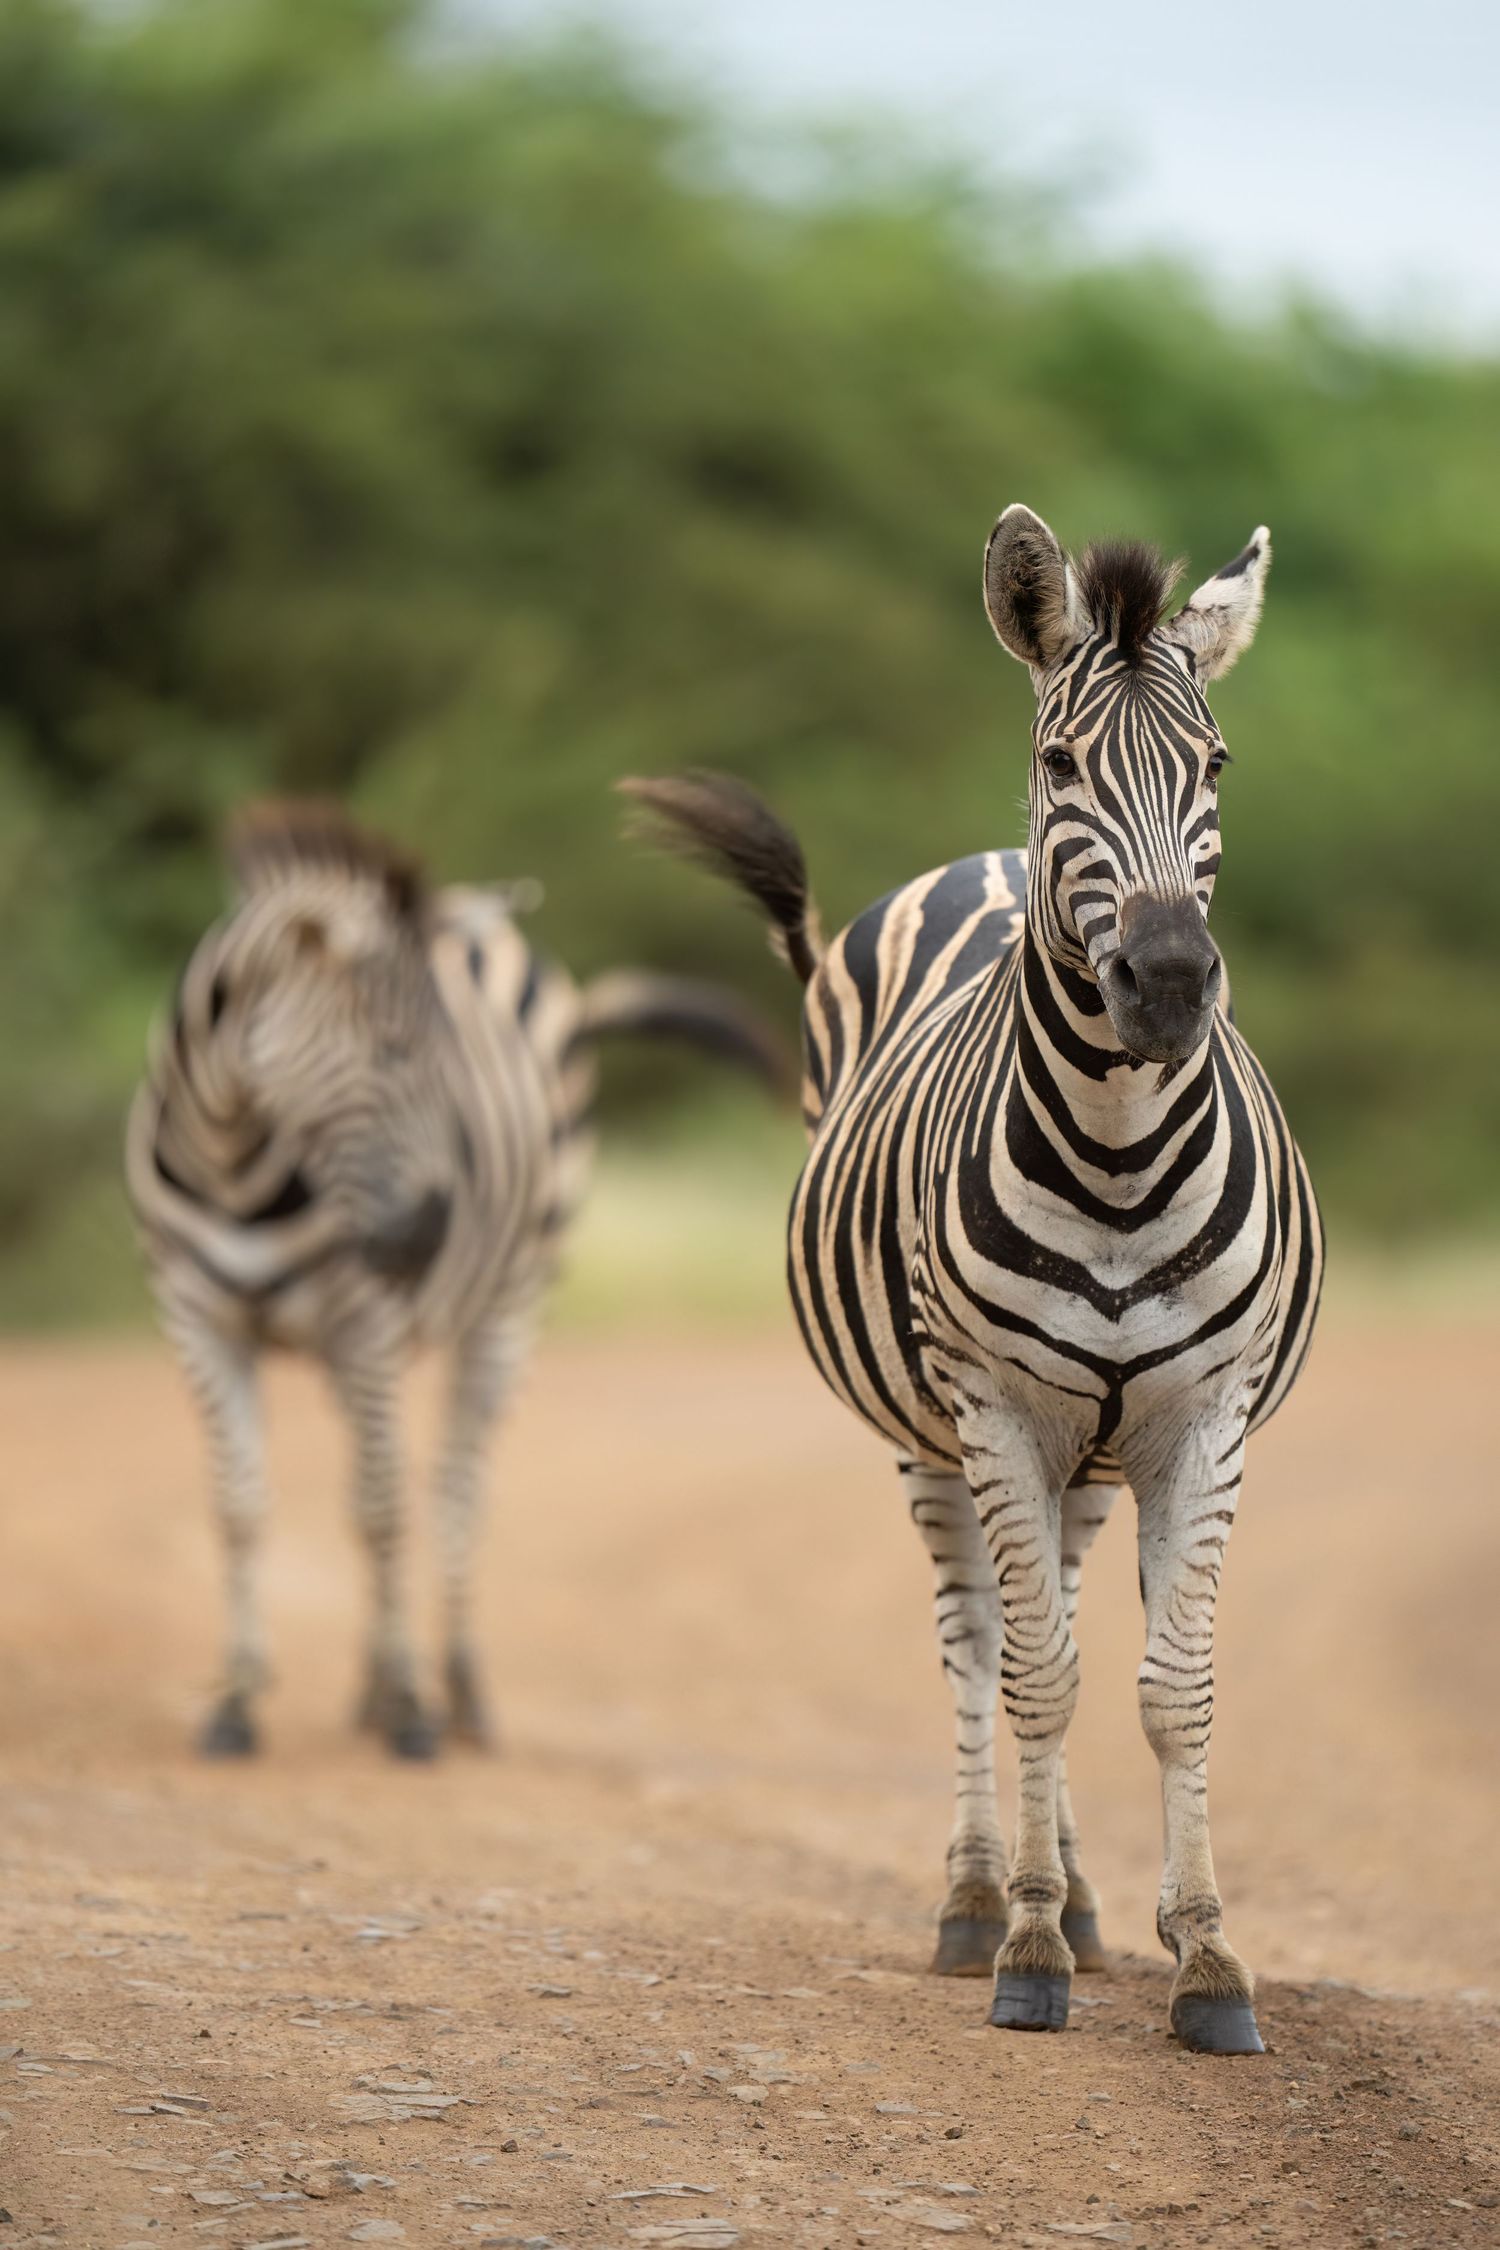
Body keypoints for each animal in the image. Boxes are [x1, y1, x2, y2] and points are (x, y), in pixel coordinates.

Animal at [126, 801, 787, 1761]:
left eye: (453, 1068)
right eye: (392, 1050)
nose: (425, 1236)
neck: (232, 1164)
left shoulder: (364, 1318)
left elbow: (382, 1511)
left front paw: (410, 1709)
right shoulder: (197, 1316)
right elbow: (242, 1507)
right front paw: (238, 1702)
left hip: (510, 1304)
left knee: (454, 1488)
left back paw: (457, 1694)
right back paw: (371, 1690)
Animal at [623, 506, 1324, 2055]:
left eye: (1218, 766)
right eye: (1063, 764)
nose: (1168, 985)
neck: (1118, 1159)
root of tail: (979, 858)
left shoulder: (1205, 1416)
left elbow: (1173, 1690)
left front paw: (1205, 1959)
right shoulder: (993, 1406)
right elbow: (1036, 1673)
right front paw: (1029, 1952)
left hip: (1089, 1452)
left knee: (1046, 1609)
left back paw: (1081, 1894)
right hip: (939, 1430)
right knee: (979, 1639)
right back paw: (981, 1897)